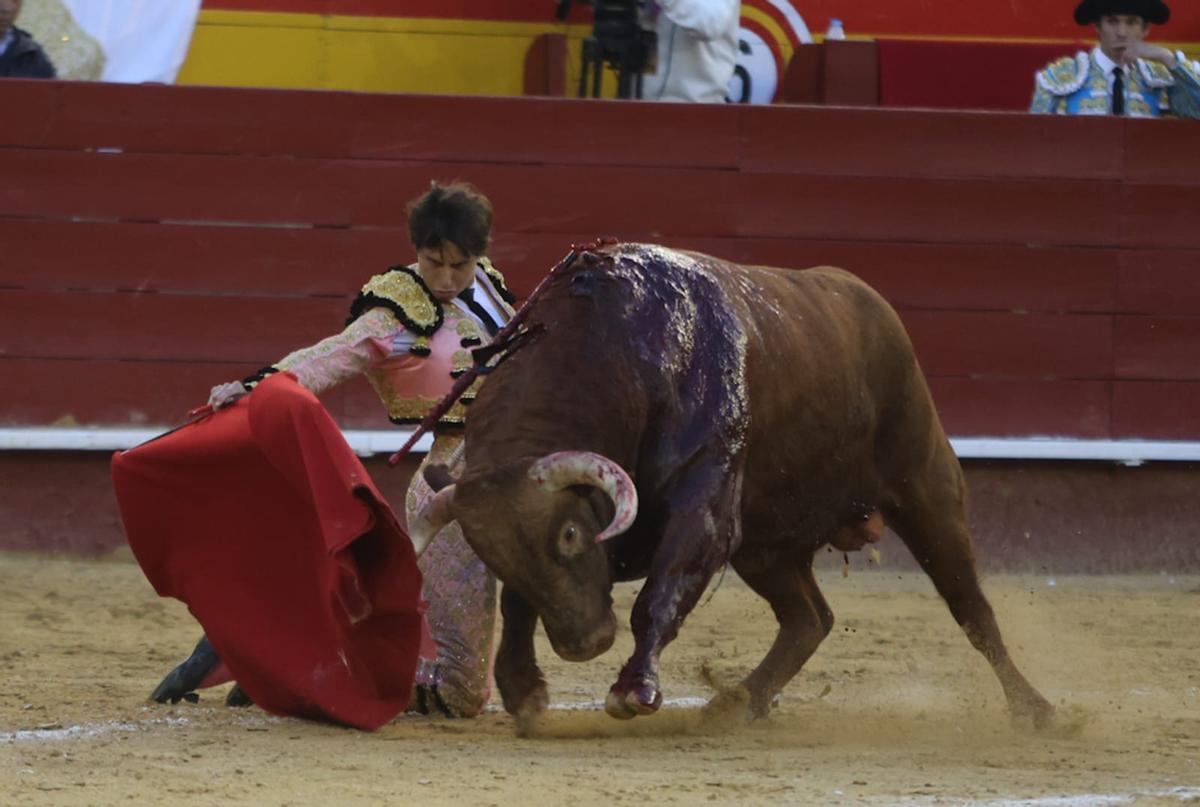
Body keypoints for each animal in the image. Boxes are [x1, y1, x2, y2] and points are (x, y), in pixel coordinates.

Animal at [412, 242, 1051, 730]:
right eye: (489, 555)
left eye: (571, 533)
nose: (582, 644)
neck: (617, 356)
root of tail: (866, 298)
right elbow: (519, 603)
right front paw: (524, 692)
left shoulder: (705, 504)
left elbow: (660, 593)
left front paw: (634, 691)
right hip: (768, 547)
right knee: (809, 619)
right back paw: (738, 702)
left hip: (925, 491)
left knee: (971, 608)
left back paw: (1034, 709)